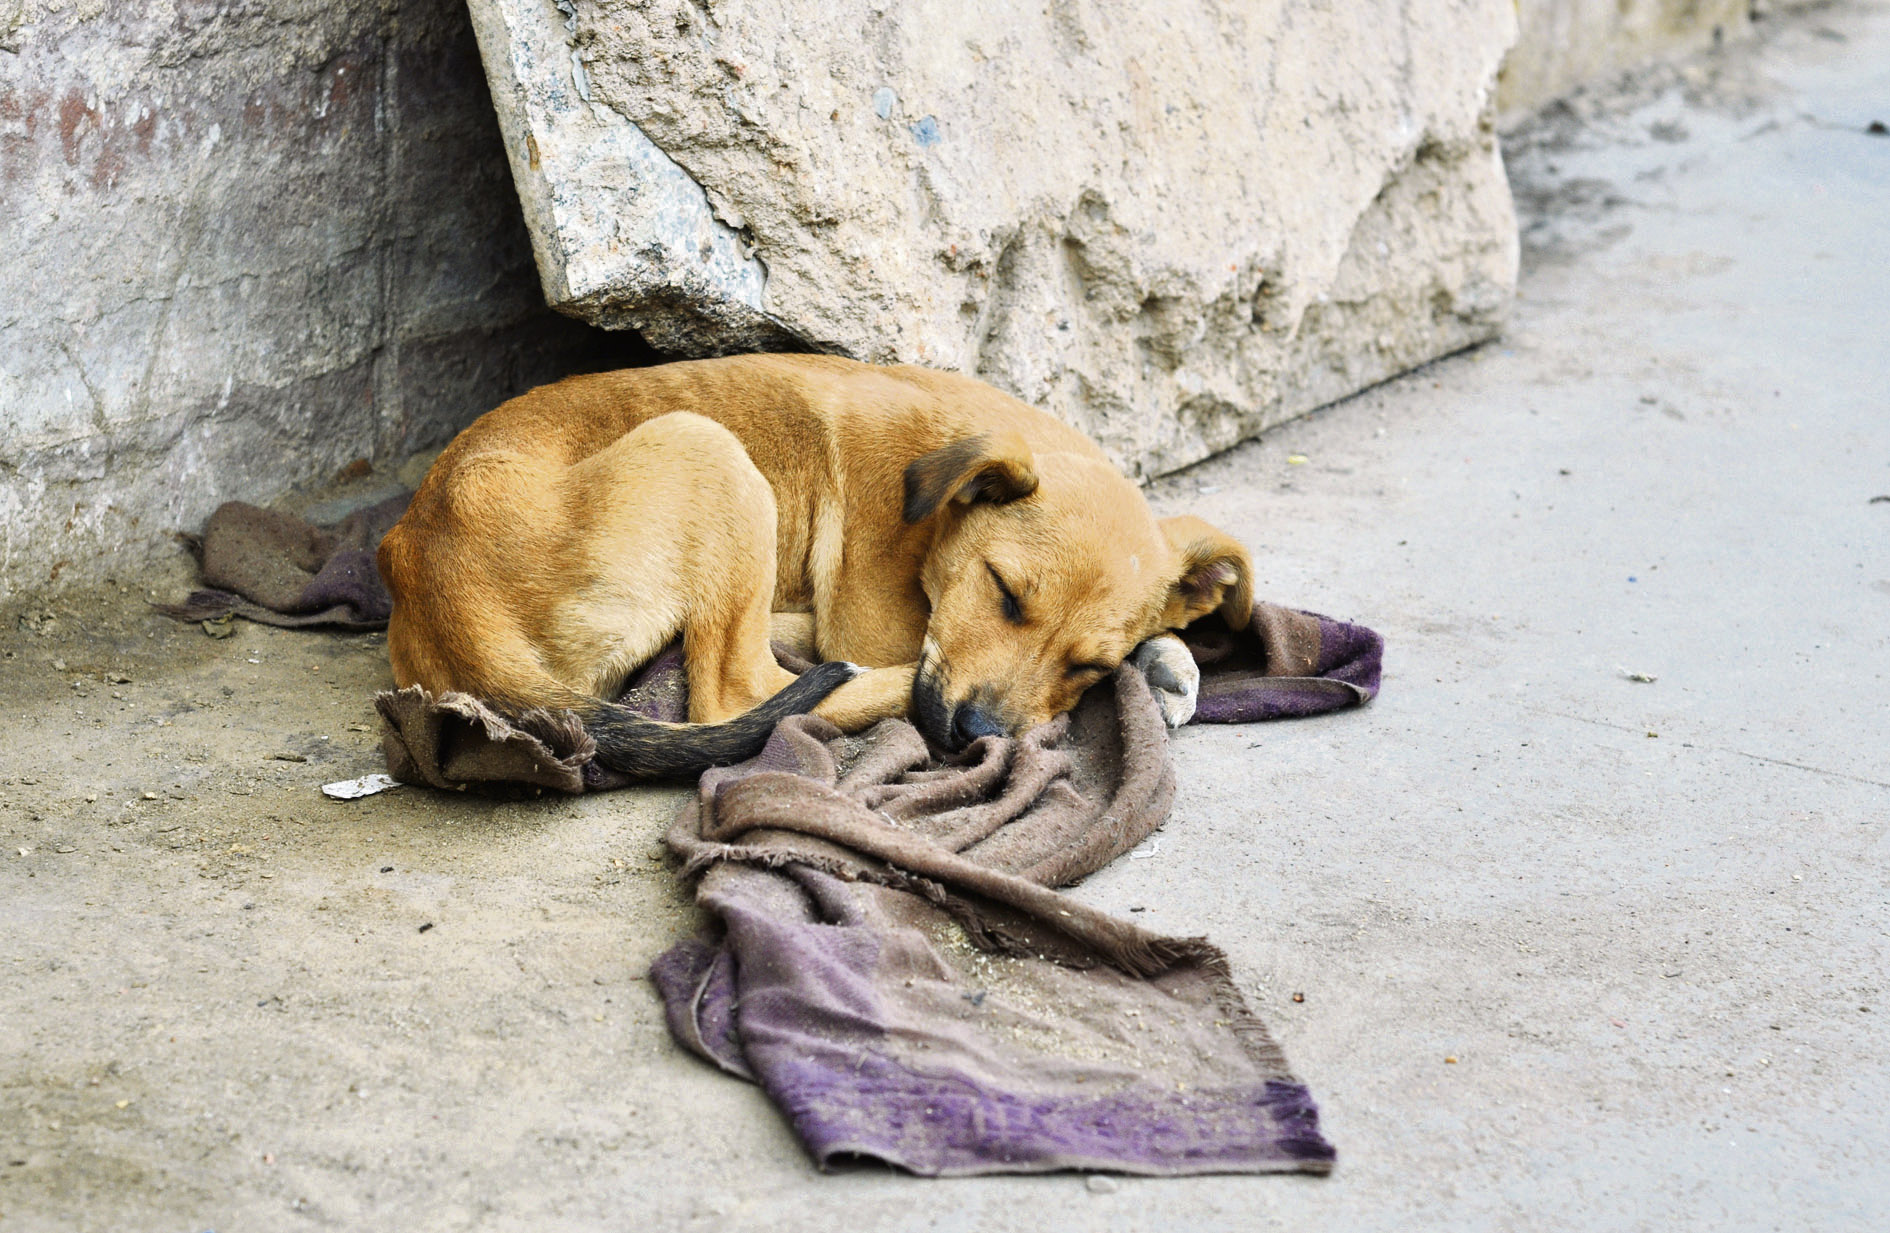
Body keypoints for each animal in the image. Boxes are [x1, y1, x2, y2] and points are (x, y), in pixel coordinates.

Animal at [374, 355, 1247, 775]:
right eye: (1003, 592)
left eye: (1087, 663)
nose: (975, 736)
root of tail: (428, 572)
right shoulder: (880, 621)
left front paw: (1165, 655)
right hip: (707, 450)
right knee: (740, 693)